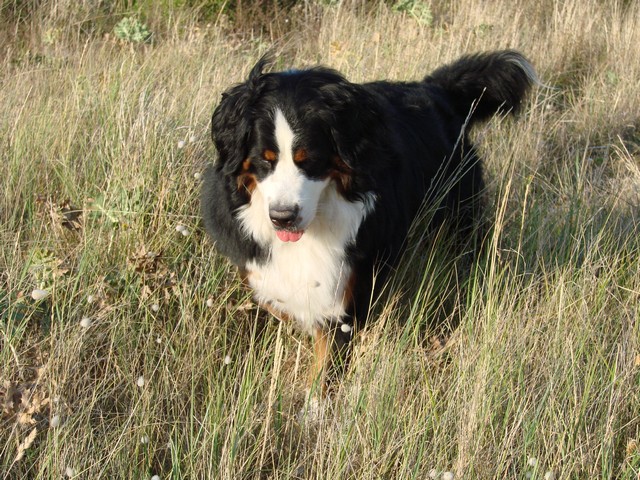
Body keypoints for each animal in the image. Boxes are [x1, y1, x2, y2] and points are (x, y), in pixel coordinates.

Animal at [201, 50, 535, 393]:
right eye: (262, 160)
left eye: (310, 160)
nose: (283, 217)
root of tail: (436, 89)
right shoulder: (261, 269)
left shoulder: (345, 291)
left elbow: (326, 363)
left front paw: (316, 405)